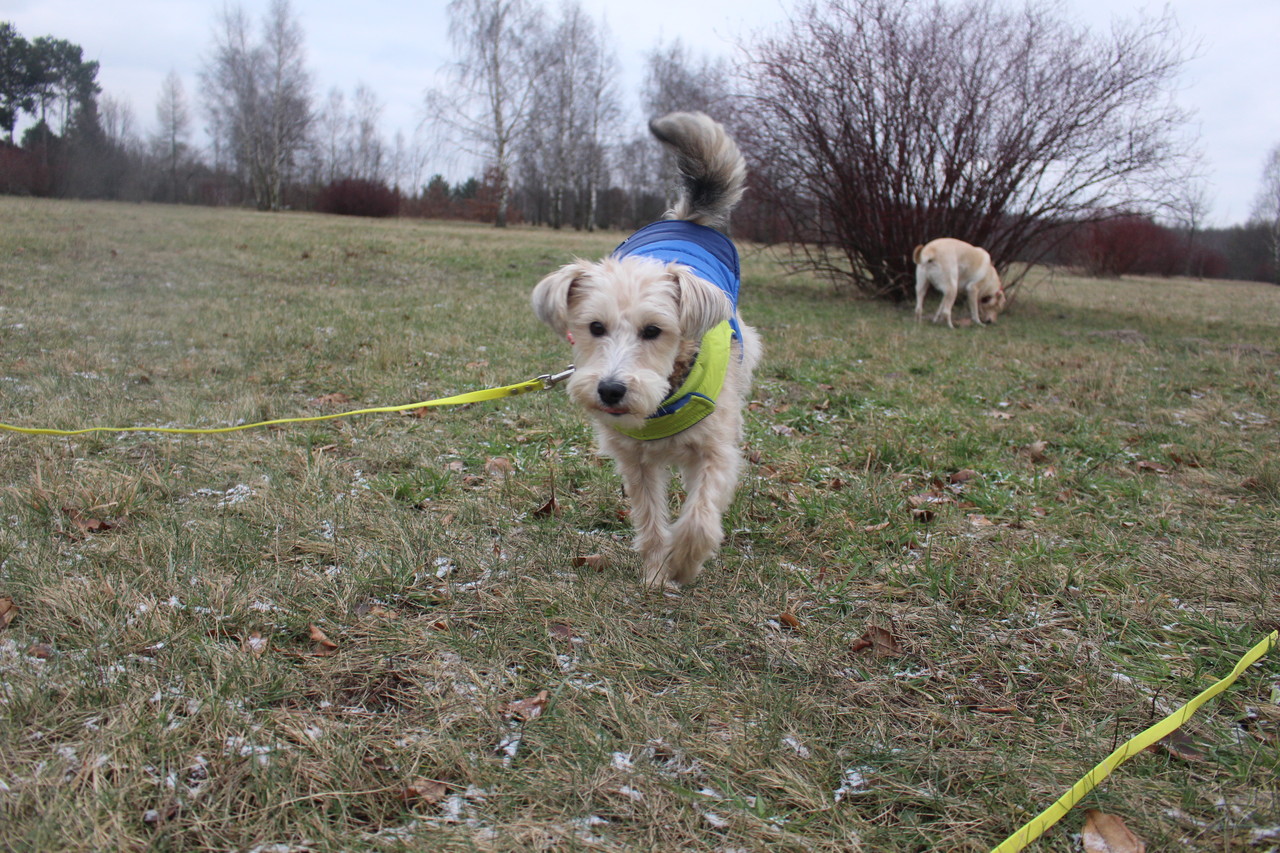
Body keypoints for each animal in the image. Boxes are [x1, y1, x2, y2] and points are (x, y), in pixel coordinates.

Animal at [531, 112, 761, 587]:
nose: (611, 390)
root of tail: (687, 218)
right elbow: (652, 519)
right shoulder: (635, 461)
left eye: (654, 331)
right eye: (594, 327)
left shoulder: (716, 452)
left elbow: (699, 518)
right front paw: (656, 572)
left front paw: (684, 563)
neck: (664, 399)